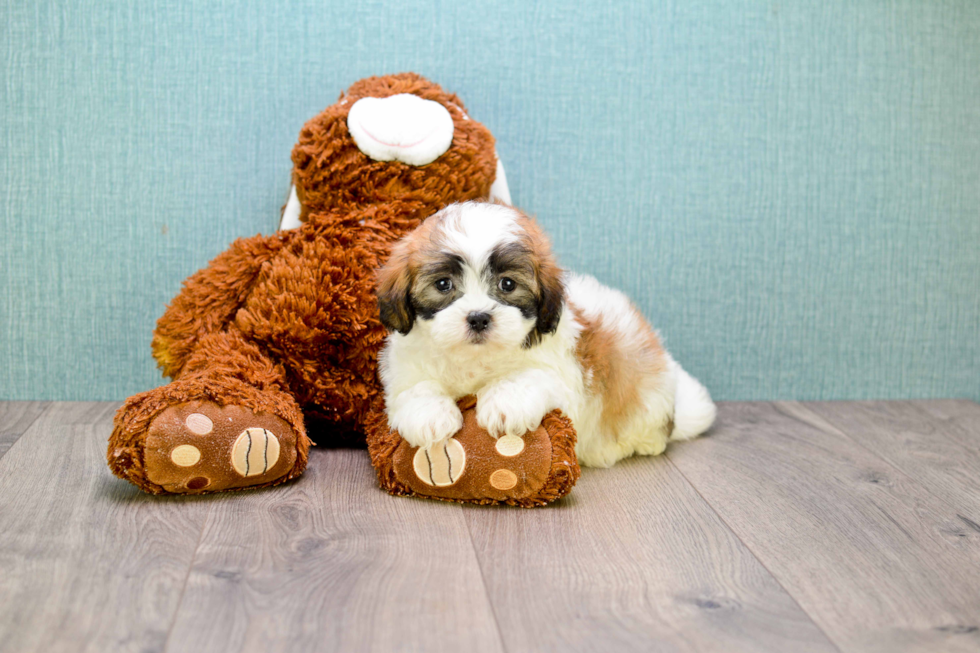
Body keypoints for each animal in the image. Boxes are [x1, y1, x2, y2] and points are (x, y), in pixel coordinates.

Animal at [376, 201, 712, 466]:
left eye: (507, 284)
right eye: (443, 284)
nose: (478, 317)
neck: (476, 359)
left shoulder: (564, 374)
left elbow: (529, 376)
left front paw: (503, 404)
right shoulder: (405, 366)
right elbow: (415, 387)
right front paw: (429, 417)